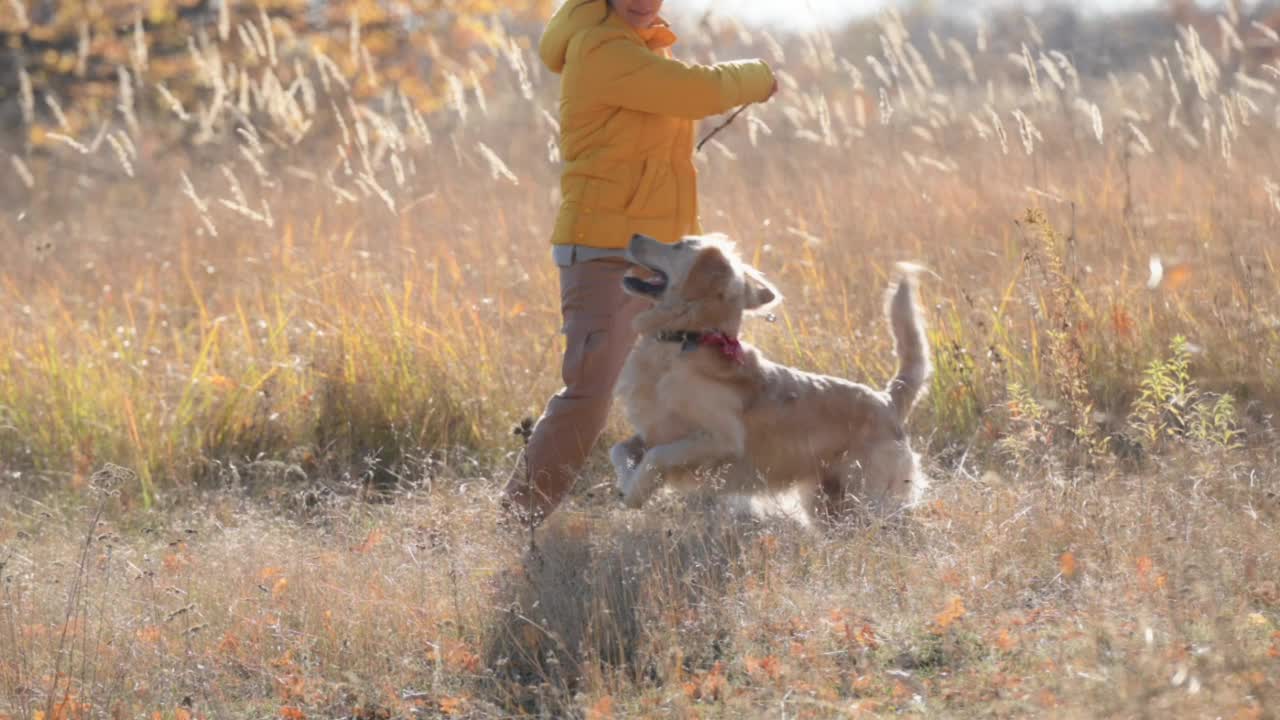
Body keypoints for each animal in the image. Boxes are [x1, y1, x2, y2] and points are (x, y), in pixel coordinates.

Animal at [609, 234, 931, 520]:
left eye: (678, 245)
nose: (633, 235)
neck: (687, 339)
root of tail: (887, 400)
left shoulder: (720, 439)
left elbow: (657, 456)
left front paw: (635, 493)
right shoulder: (652, 430)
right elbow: (620, 449)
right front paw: (627, 482)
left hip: (870, 497)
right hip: (824, 503)